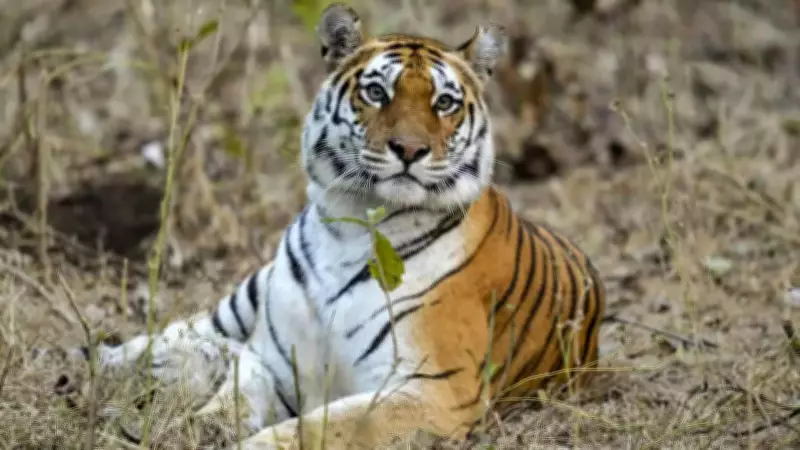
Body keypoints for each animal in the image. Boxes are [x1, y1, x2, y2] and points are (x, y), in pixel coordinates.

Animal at [76, 3, 606, 449]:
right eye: (377, 92)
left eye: (444, 103)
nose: (409, 149)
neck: (351, 224)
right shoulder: (269, 358)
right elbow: (230, 399)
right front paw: (196, 425)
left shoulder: (431, 390)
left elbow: (319, 427)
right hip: (247, 294)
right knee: (190, 328)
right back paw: (105, 362)